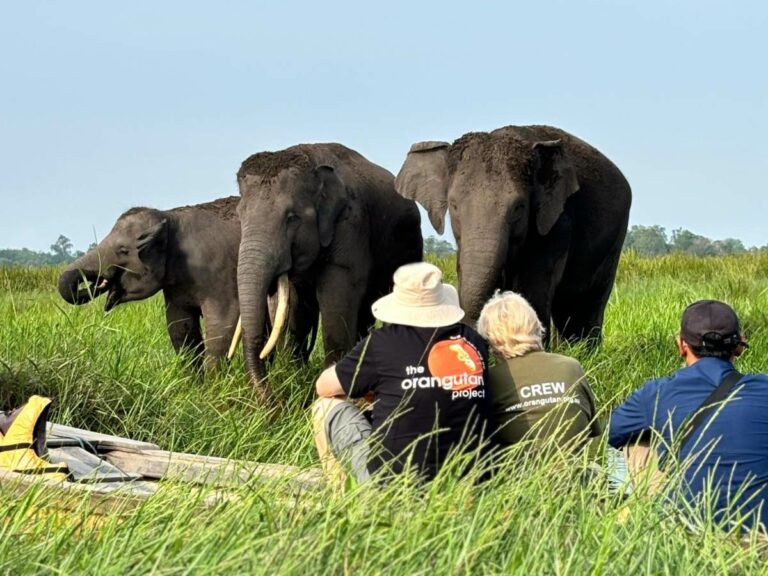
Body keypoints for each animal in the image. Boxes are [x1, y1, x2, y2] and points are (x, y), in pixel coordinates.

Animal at [236, 143, 423, 394]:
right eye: (239, 216)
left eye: (291, 217)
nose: (273, 401)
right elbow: (292, 309)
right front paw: (294, 382)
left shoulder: (351, 224)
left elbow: (337, 297)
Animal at [395, 125, 631, 344]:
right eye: (453, 205)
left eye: (519, 207)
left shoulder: (557, 221)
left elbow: (534, 285)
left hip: (614, 240)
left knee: (586, 305)